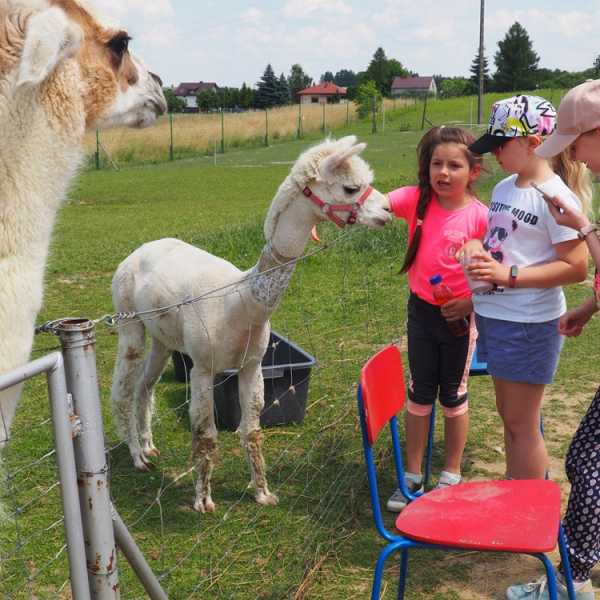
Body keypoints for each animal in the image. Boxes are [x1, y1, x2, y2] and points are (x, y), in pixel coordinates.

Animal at [109, 135, 392, 513]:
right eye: (351, 188)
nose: (388, 209)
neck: (240, 304)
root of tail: (140, 249)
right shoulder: (203, 366)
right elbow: (206, 435)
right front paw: (203, 501)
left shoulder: (251, 364)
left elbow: (253, 430)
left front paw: (263, 493)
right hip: (128, 320)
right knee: (123, 389)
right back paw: (137, 456)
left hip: (164, 337)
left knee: (145, 384)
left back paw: (149, 445)